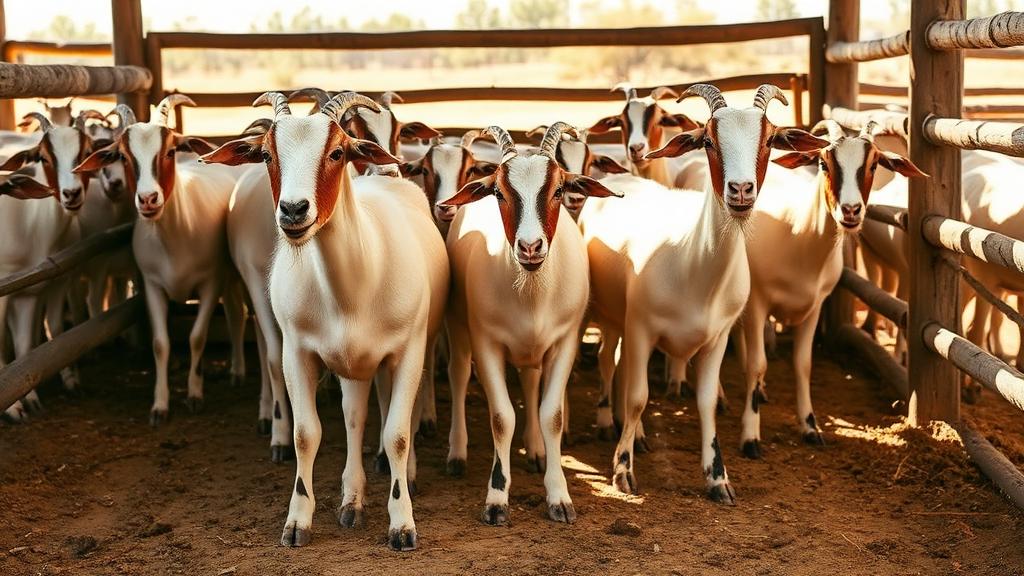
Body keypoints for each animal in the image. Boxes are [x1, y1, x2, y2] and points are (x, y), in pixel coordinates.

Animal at [74, 96, 248, 425]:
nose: (148, 199)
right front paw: (160, 405)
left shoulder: (210, 283)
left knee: (237, 314)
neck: (174, 236)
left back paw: (238, 371)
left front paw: (194, 394)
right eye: (123, 156)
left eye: (169, 152)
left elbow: (197, 337)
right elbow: (160, 344)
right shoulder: (152, 286)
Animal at [201, 92, 448, 551]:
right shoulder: (298, 353)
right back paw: (352, 500)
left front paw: (402, 523)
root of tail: (385, 176)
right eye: (266, 154)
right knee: (355, 416)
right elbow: (306, 434)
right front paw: (298, 521)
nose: (294, 210)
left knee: (391, 414)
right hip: (352, 364)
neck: (354, 285)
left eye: (337, 152)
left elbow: (398, 433)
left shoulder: (408, 351)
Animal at [578, 84, 828, 503]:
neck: (693, 264)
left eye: (769, 140)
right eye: (708, 140)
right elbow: (638, 396)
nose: (741, 190)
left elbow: (707, 401)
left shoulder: (717, 338)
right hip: (612, 316)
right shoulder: (642, 329)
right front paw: (623, 471)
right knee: (611, 365)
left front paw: (717, 477)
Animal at [738, 120, 925, 459]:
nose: (850, 211)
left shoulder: (815, 306)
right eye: (824, 163)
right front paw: (750, 436)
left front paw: (810, 427)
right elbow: (757, 364)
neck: (797, 234)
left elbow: (803, 365)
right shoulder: (757, 302)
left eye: (874, 164)